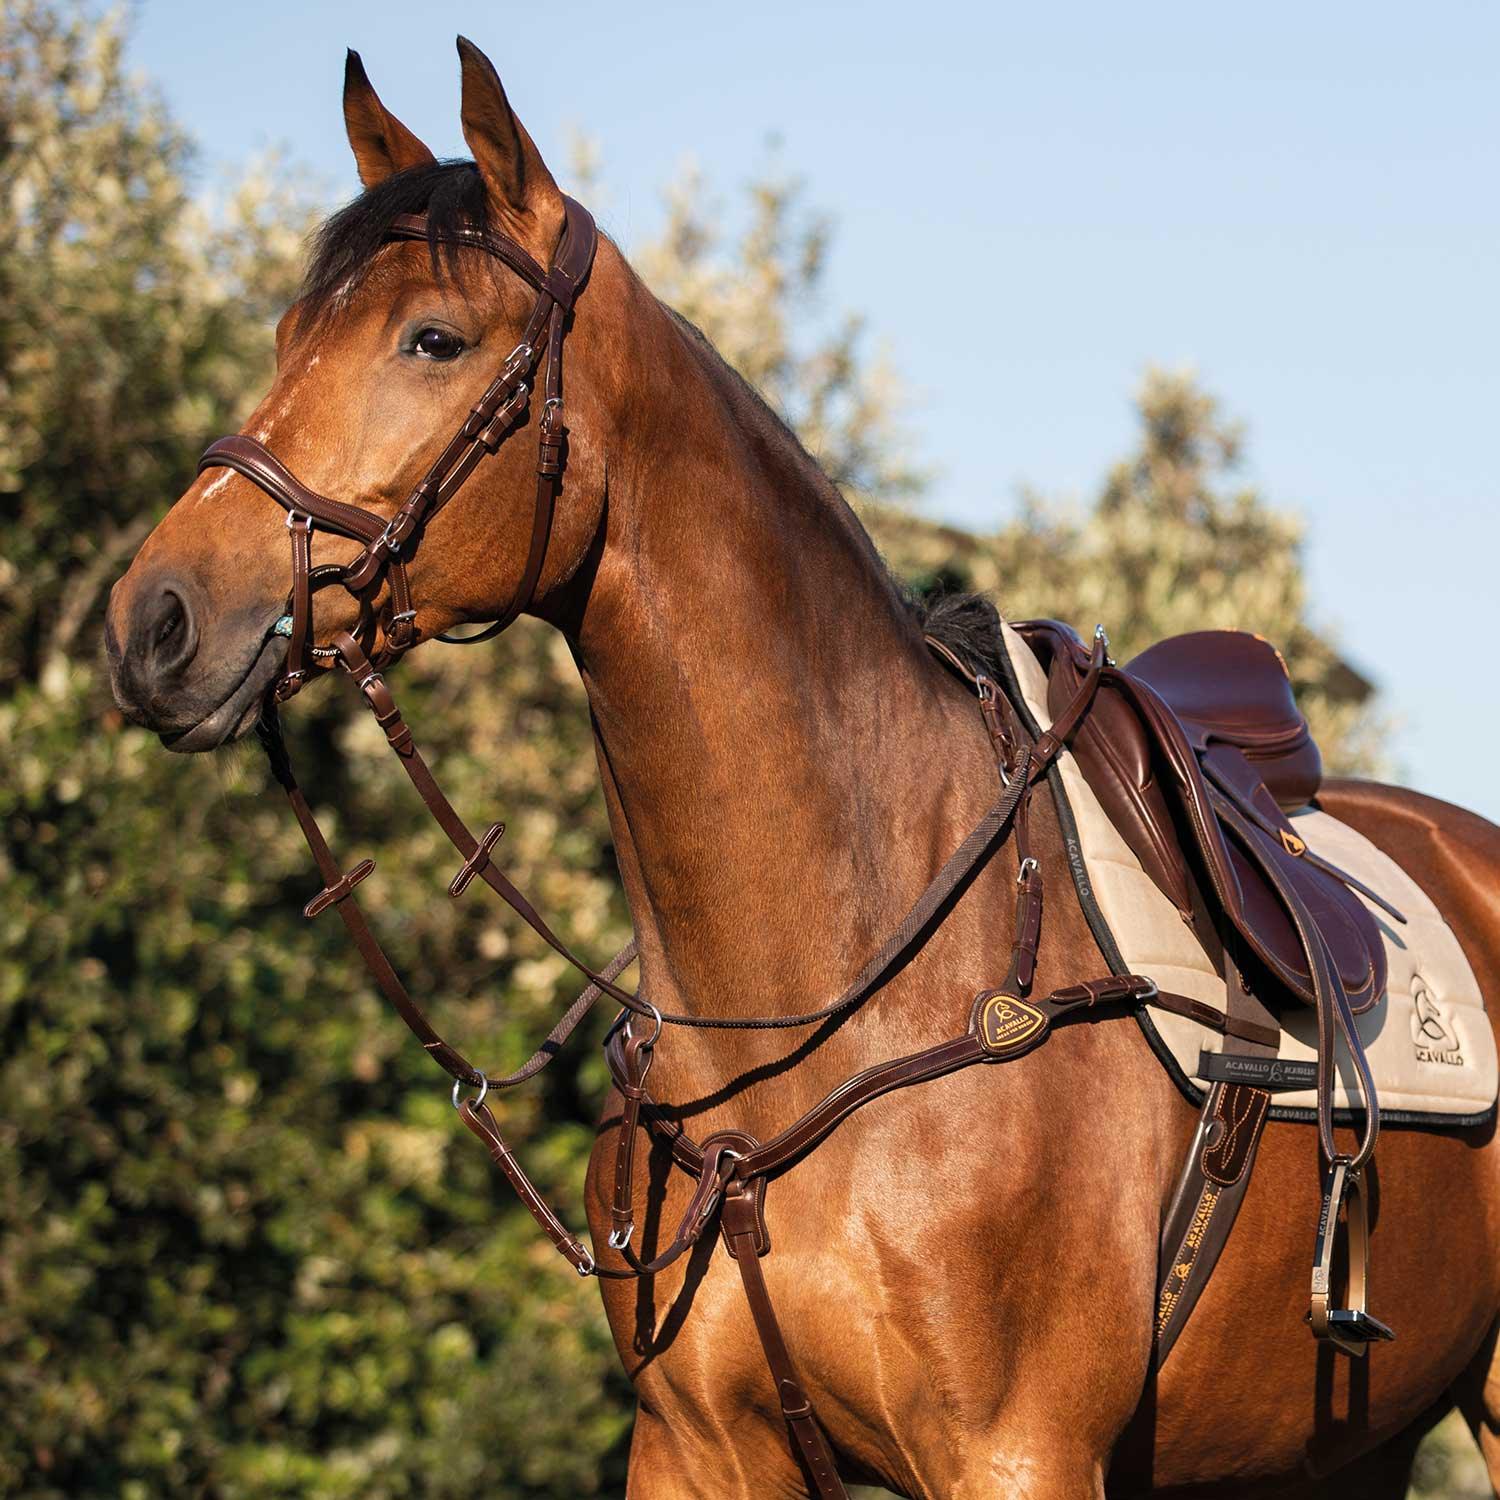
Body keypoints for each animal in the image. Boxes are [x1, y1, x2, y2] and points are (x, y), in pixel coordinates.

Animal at [103, 37, 1500, 1499]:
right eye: (284, 337)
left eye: (434, 339)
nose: (154, 624)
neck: (832, 1000)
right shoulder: (695, 1450)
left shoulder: (1016, 1453)